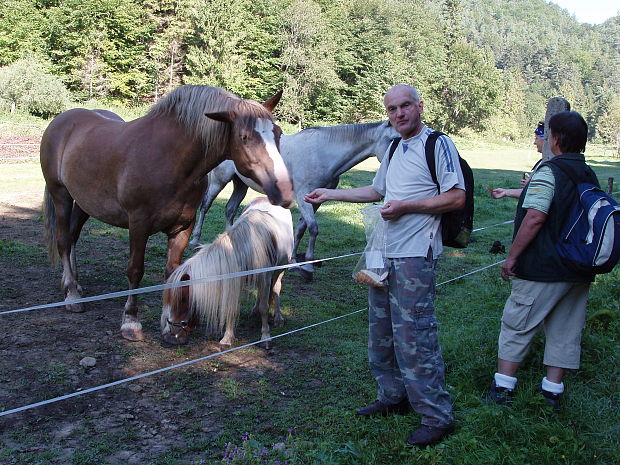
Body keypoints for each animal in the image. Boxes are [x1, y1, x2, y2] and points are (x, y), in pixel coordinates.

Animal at [161, 197, 294, 348]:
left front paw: (265, 337)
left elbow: (264, 308)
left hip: (279, 270)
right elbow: (232, 308)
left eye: (183, 299)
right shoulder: (236, 279)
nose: (172, 331)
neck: (249, 246)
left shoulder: (264, 278)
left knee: (276, 289)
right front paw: (227, 339)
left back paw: (278, 318)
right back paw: (254, 312)